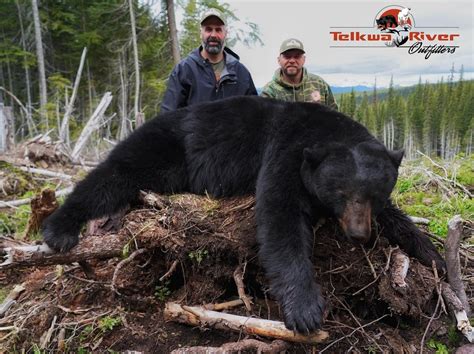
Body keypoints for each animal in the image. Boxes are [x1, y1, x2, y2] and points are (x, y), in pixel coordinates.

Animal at [42, 97, 446, 334]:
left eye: (374, 195)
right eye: (341, 193)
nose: (359, 234)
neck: (322, 131)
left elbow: (398, 219)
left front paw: (434, 255)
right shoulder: (285, 153)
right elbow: (280, 219)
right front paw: (305, 309)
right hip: (163, 147)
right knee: (113, 175)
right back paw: (59, 228)